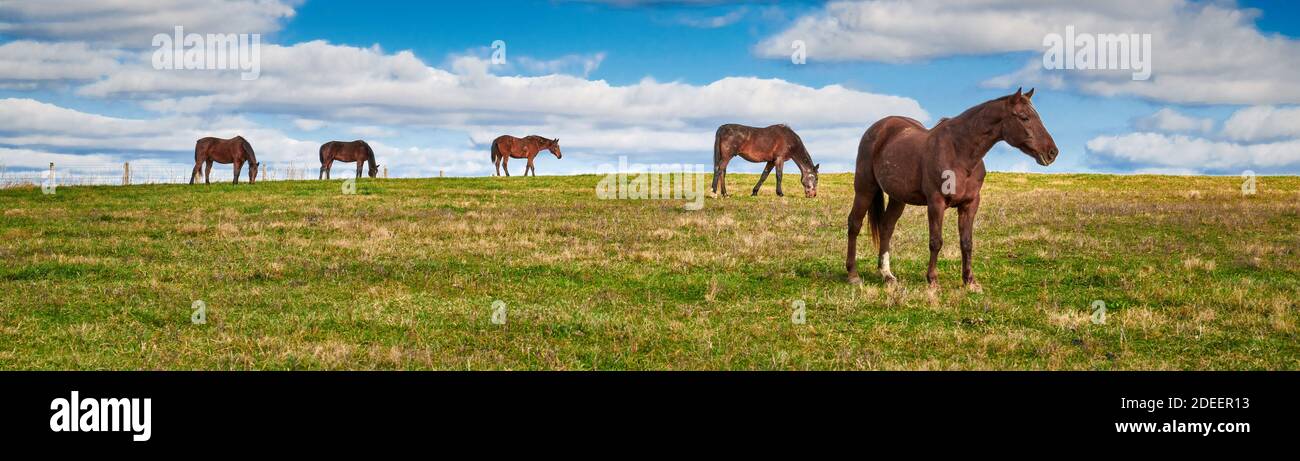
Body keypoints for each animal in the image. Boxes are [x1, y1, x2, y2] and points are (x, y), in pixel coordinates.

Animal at [847, 89, 1060, 292]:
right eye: (1024, 117)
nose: (1052, 152)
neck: (959, 152)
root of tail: (879, 128)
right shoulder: (936, 203)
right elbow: (936, 241)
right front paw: (932, 281)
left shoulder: (970, 204)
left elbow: (966, 243)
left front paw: (970, 281)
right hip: (865, 188)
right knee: (854, 224)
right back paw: (853, 274)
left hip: (898, 197)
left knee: (886, 228)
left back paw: (887, 275)